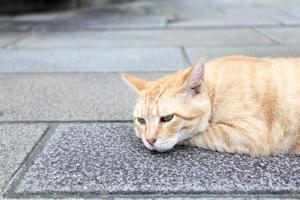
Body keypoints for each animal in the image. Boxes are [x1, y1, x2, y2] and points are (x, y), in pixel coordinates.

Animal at [121, 55, 300, 155]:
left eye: (167, 118)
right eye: (141, 120)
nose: (150, 141)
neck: (214, 90)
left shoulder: (252, 132)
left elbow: (202, 132)